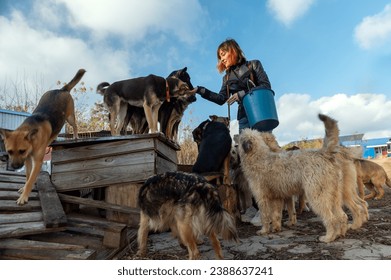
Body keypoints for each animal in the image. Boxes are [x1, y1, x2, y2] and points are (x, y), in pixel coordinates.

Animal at [0, 69, 86, 206]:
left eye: (21, 151)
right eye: (9, 151)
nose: (14, 167)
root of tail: (61, 90)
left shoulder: (38, 162)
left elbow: (31, 180)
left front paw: (24, 196)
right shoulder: (28, 160)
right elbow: (28, 176)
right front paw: (24, 188)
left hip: (70, 117)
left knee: (75, 126)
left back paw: (76, 136)